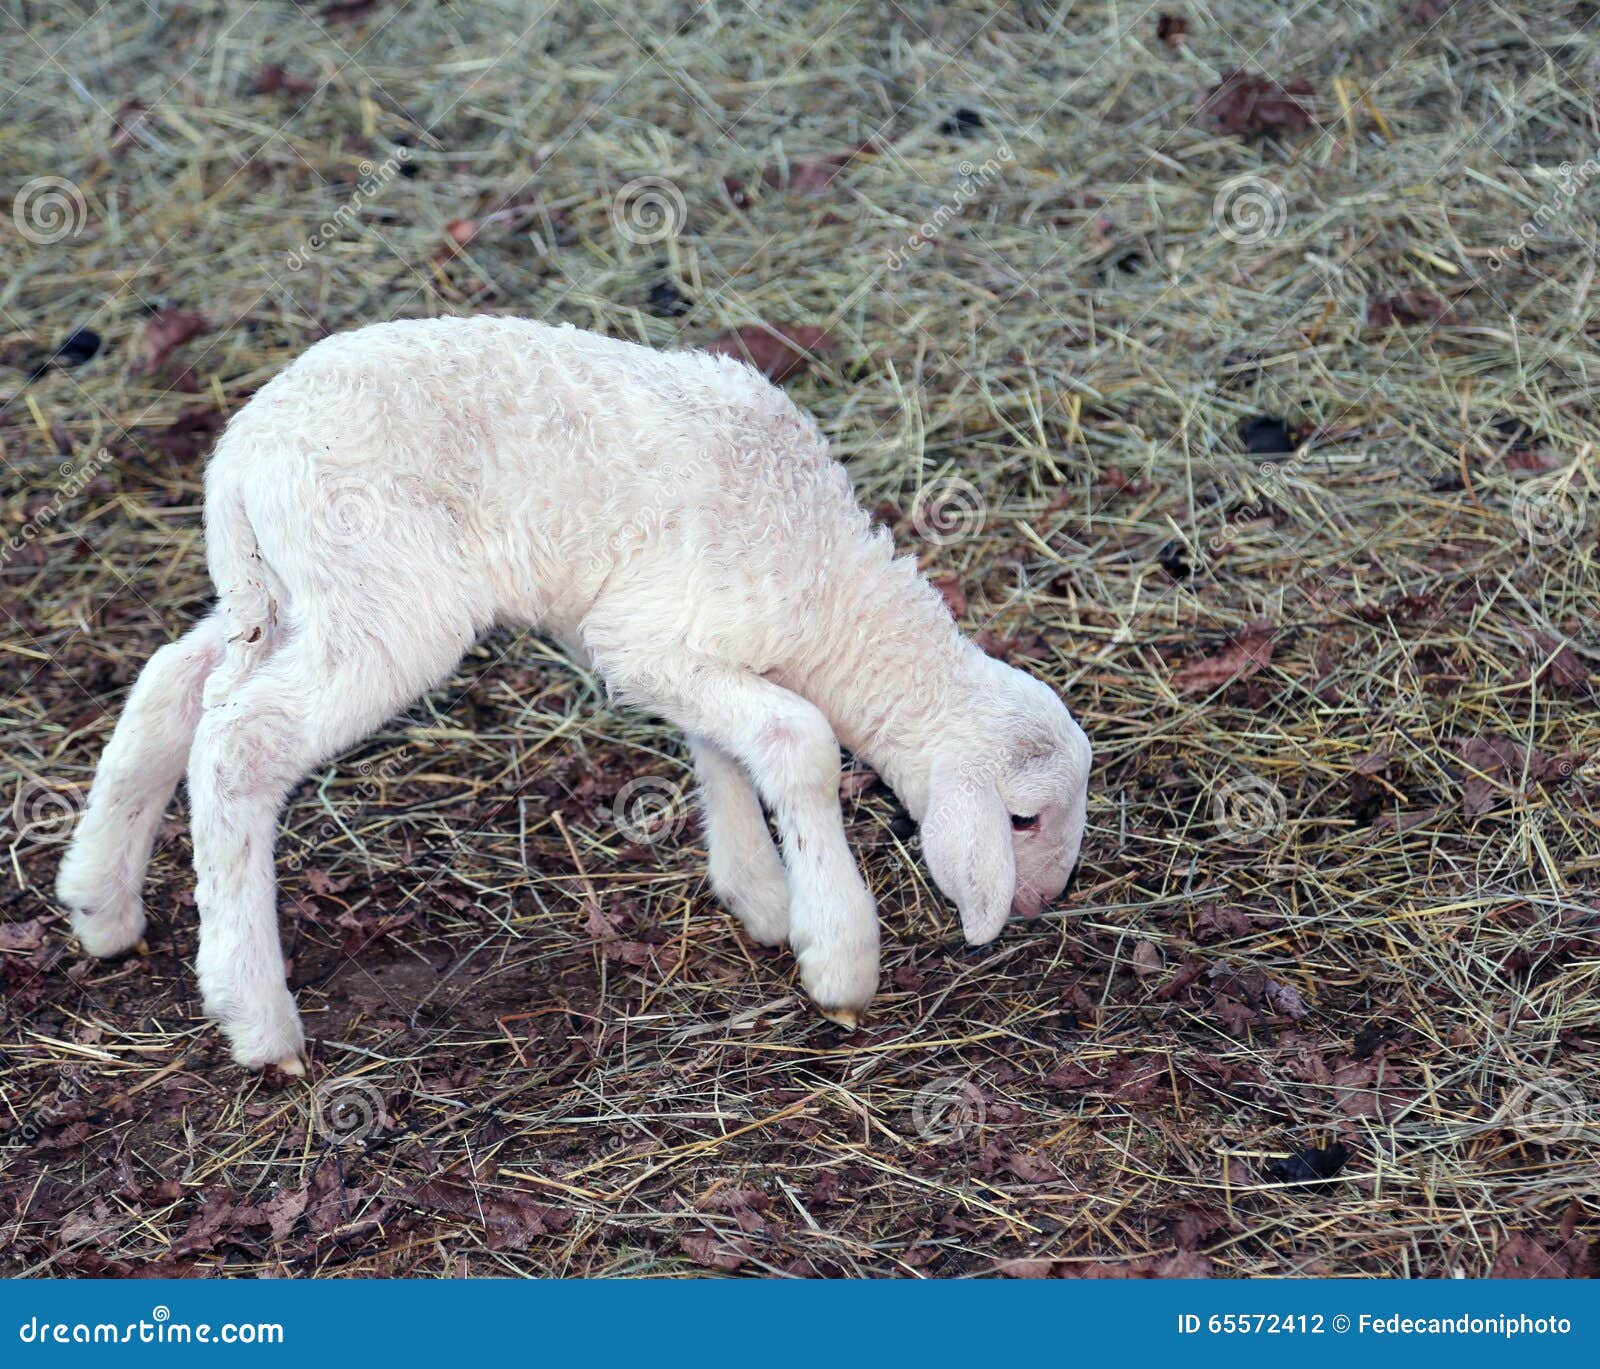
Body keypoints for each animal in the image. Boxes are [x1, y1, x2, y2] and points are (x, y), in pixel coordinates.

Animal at [56, 315, 1093, 1073]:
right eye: (1025, 819)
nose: (1041, 905)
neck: (834, 593)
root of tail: (238, 462)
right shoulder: (648, 637)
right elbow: (799, 743)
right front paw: (838, 953)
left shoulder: (678, 651)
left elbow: (727, 746)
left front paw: (759, 893)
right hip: (379, 602)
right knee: (241, 746)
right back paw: (258, 1016)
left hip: (282, 595)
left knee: (176, 684)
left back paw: (101, 902)